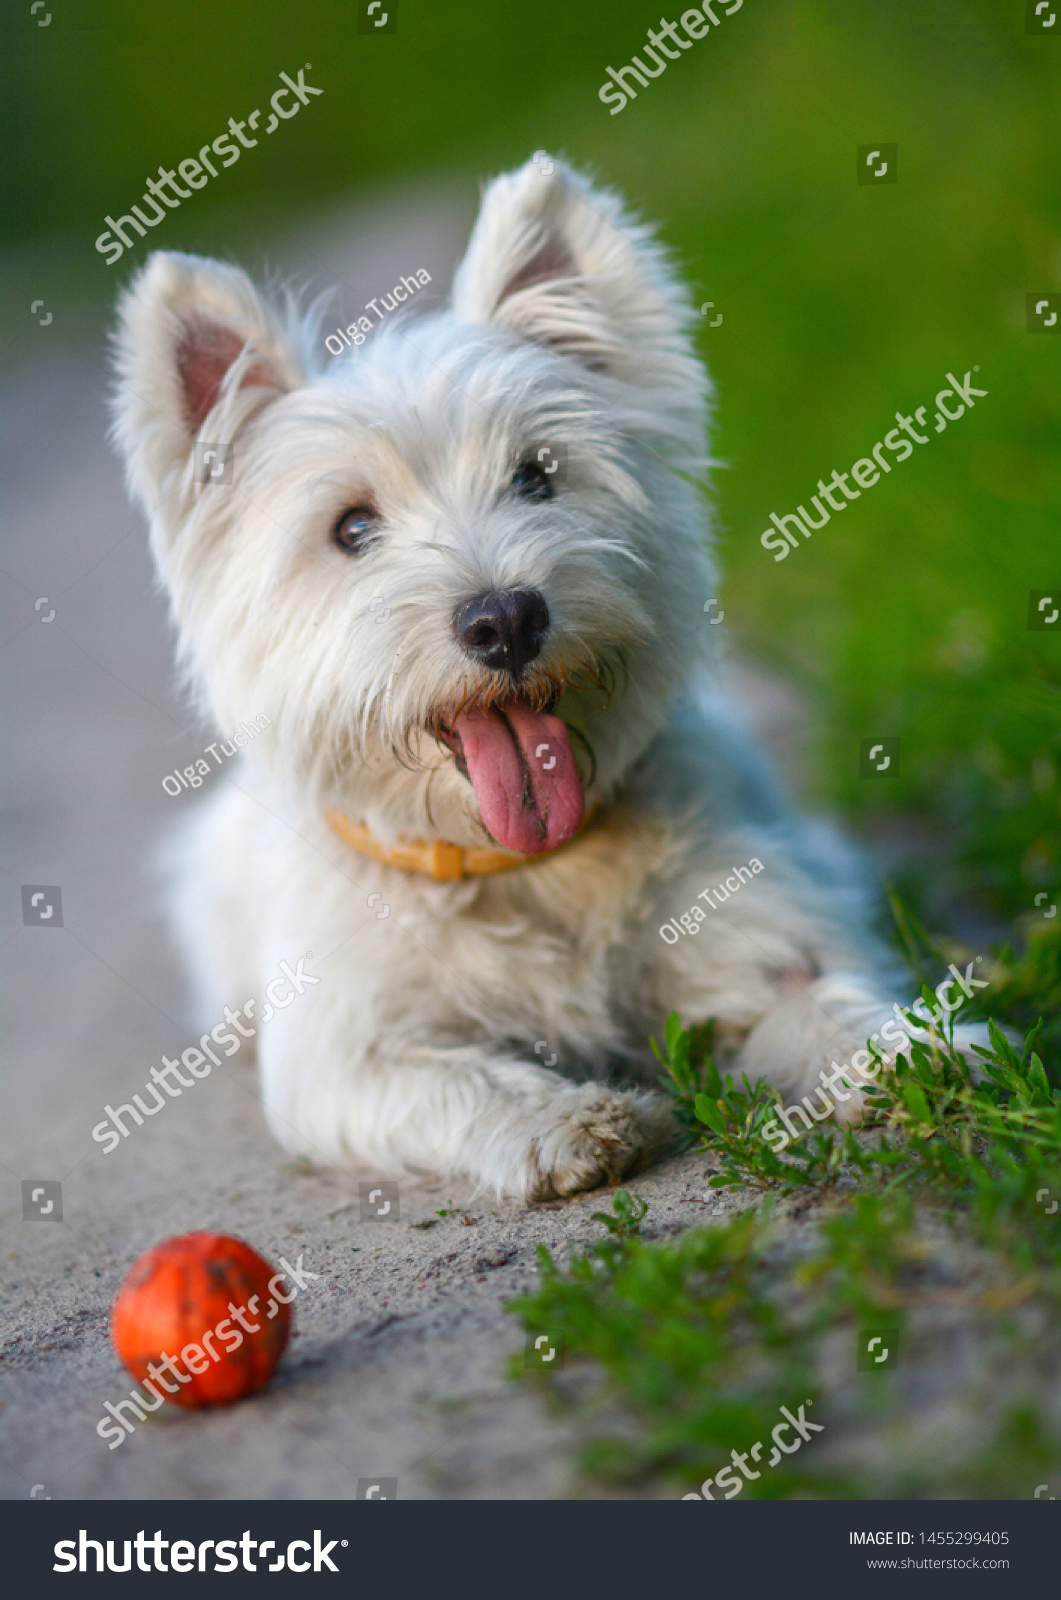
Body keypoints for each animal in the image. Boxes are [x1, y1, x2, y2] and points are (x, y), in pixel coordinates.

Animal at [114, 156, 979, 1203]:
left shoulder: (752, 933)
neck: (521, 868)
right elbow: (455, 1082)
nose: (505, 619)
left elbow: (821, 996)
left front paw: (908, 1052)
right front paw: (570, 1122)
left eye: (536, 475)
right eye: (351, 527)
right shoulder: (348, 1054)